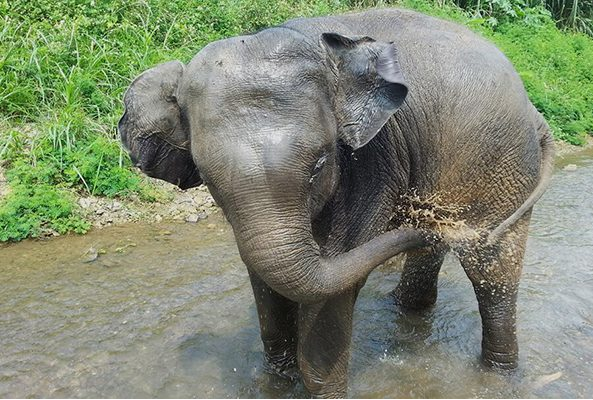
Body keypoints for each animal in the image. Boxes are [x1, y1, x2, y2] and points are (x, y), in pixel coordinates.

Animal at [118, 7, 552, 398]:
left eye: (320, 165)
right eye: (207, 178)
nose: (422, 223)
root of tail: (535, 111)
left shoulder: (373, 159)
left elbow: (333, 277)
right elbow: (263, 280)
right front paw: (278, 382)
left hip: (504, 165)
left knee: (492, 271)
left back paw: (498, 375)